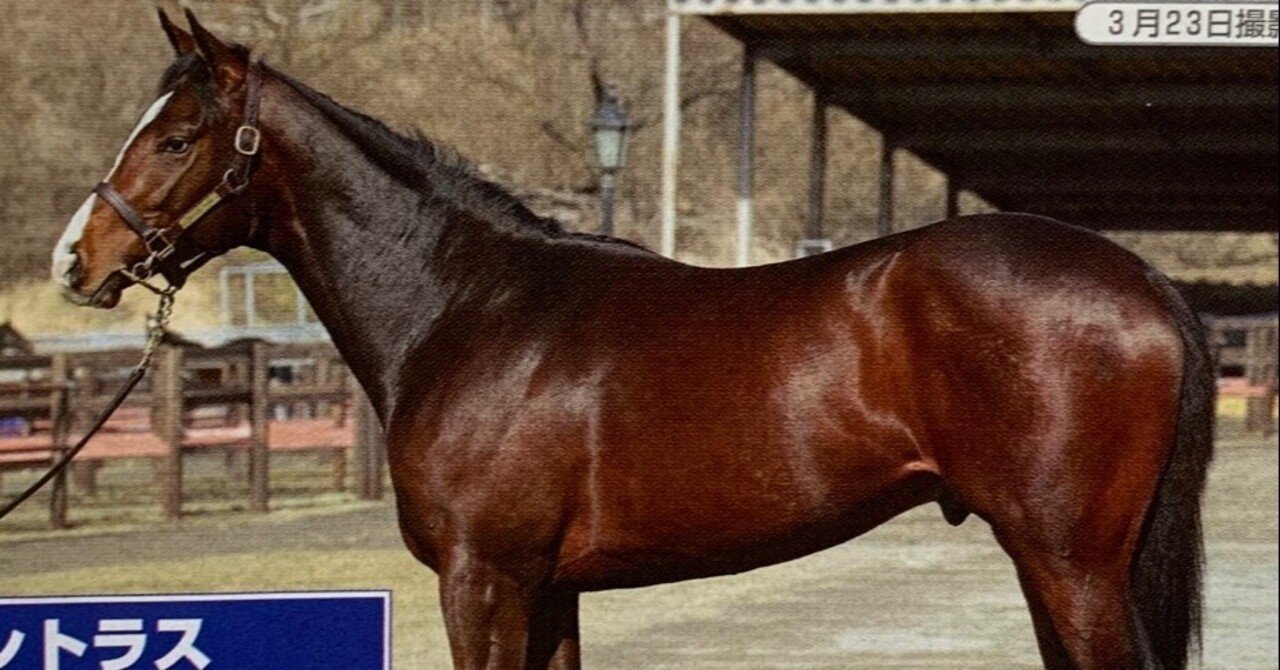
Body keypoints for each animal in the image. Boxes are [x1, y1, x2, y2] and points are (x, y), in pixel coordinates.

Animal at [52, 11, 1213, 669]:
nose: (76, 258)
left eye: (176, 138)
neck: (468, 307)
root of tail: (1143, 279)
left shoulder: (483, 579)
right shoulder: (550, 588)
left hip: (1070, 565)